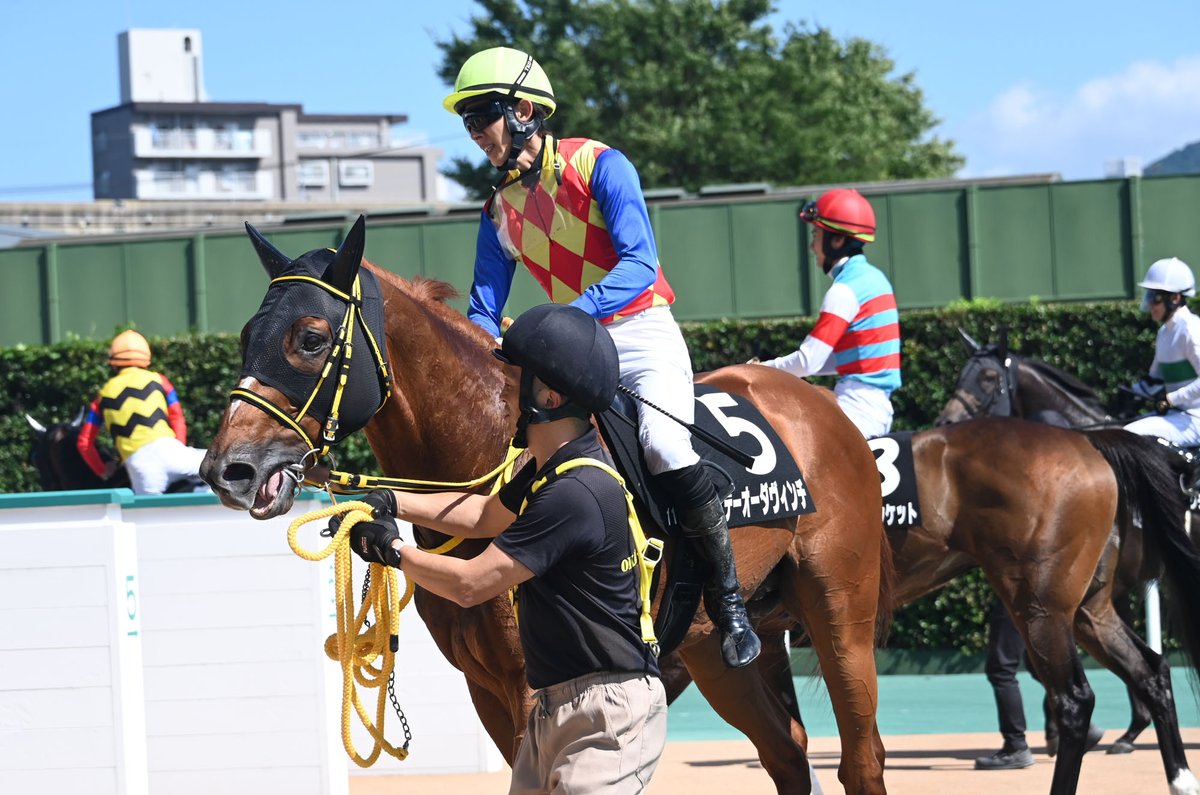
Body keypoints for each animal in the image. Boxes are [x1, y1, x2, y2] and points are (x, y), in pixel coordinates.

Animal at [199, 218, 894, 794]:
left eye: (311, 338)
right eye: (247, 334)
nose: (227, 469)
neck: (489, 442)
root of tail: (821, 406)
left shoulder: (533, 686)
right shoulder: (487, 689)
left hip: (841, 611)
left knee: (861, 757)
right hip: (713, 652)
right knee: (787, 753)